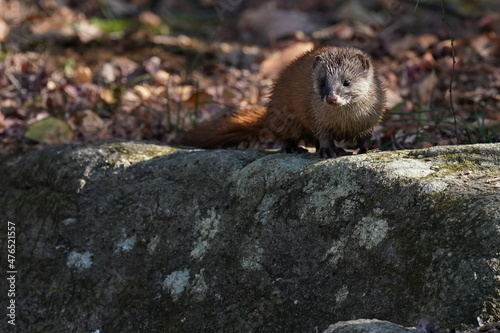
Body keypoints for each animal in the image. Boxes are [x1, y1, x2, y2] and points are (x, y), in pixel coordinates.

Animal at [182, 45, 384, 158]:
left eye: (346, 82)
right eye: (322, 82)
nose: (331, 97)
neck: (345, 121)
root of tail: (269, 111)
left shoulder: (372, 119)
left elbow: (365, 137)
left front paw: (369, 149)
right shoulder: (315, 117)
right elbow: (324, 136)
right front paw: (329, 151)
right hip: (285, 116)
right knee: (284, 137)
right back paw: (294, 149)